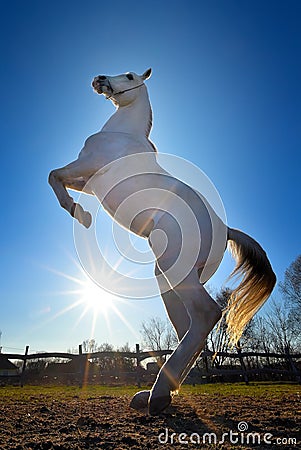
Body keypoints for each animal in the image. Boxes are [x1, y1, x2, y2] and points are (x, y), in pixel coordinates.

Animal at [48, 68, 274, 416]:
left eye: (129, 76)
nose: (100, 79)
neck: (122, 135)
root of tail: (226, 229)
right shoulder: (86, 181)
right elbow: (59, 180)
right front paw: (80, 212)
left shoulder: (85, 168)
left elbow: (53, 175)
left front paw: (80, 215)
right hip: (171, 279)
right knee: (190, 330)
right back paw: (161, 393)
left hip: (175, 271)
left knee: (206, 315)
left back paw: (157, 396)